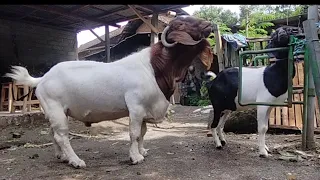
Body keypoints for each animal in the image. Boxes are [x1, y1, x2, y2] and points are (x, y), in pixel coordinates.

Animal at [4, 15, 212, 169]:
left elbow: (143, 132)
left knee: (52, 133)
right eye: (182, 23)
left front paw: (142, 151)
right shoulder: (136, 107)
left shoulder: (144, 110)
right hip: (55, 109)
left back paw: (61, 156)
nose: (209, 24)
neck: (154, 67)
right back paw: (76, 161)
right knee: (62, 136)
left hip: (54, 112)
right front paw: (135, 157)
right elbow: (134, 133)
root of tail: (42, 78)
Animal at [204, 27, 296, 158]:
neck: (274, 73)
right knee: (213, 124)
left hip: (228, 107)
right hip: (217, 106)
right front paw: (263, 152)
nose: (283, 33)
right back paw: (218, 144)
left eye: (287, 30)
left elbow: (266, 127)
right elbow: (262, 128)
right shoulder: (262, 104)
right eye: (274, 35)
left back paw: (223, 140)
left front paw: (266, 148)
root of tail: (212, 82)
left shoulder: (269, 106)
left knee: (220, 125)